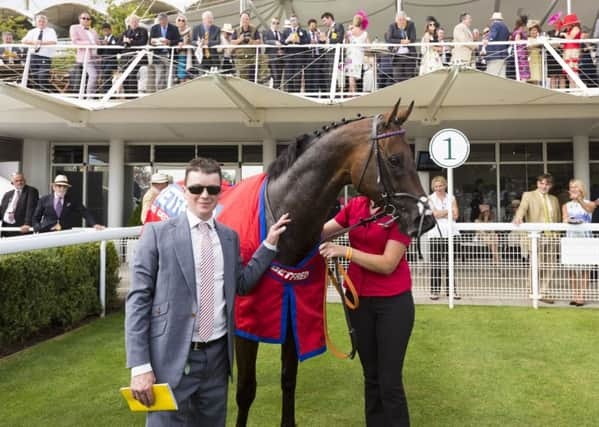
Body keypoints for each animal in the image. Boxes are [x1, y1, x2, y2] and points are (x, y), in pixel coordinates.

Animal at [234, 98, 436, 426]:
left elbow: (288, 378)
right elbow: (245, 389)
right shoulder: (245, 324)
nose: (426, 218)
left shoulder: (293, 312)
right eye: (395, 159)